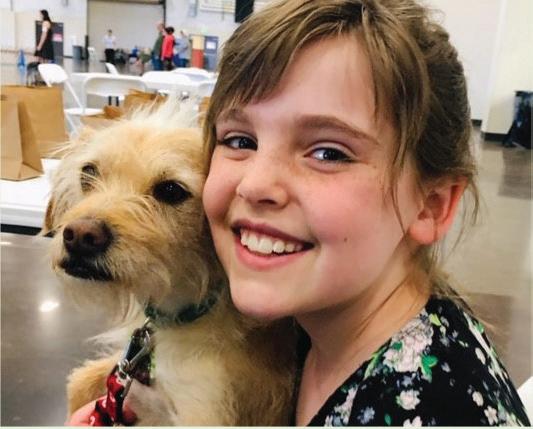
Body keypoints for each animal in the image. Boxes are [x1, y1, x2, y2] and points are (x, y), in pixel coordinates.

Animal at [43, 102, 296, 425]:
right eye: (88, 173)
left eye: (172, 190)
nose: (80, 236)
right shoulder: (122, 370)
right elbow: (78, 383)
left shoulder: (203, 410)